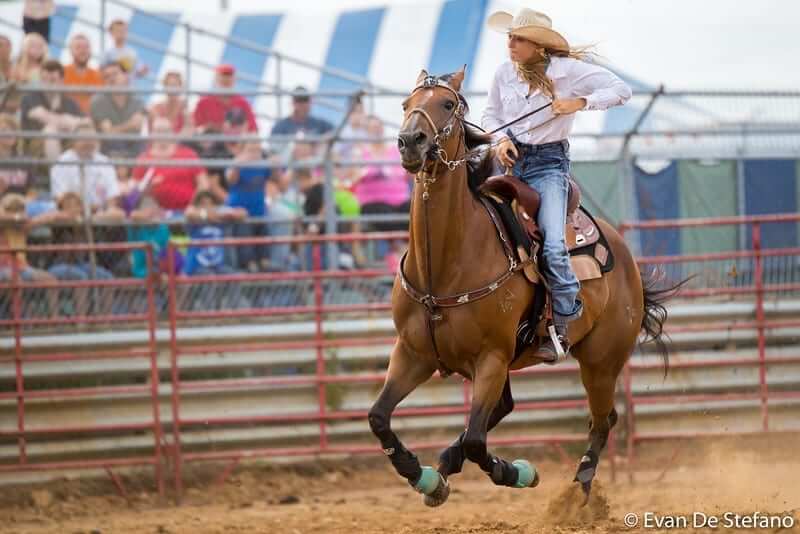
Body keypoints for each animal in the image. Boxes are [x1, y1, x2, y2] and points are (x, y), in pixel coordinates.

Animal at [368, 69, 676, 508]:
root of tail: (624, 253)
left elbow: (478, 441)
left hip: (601, 360)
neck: (443, 266)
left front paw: (517, 472)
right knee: (505, 410)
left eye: (447, 104)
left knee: (602, 420)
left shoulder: (492, 357)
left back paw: (577, 494)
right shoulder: (414, 353)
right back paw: (444, 466)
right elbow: (379, 418)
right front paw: (423, 477)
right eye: (406, 104)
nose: (411, 141)